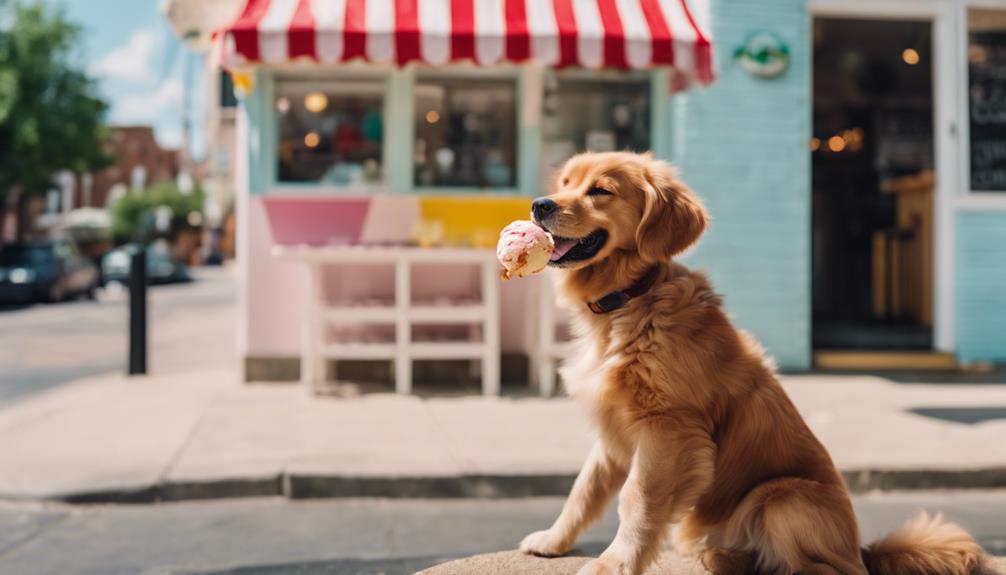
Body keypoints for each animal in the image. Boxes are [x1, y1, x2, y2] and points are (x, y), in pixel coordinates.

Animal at [523, 151, 985, 575]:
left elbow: (636, 499)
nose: (539, 205)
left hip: (781, 496)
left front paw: (614, 563)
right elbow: (584, 489)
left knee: (819, 569)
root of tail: (862, 550)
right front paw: (554, 539)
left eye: (601, 190)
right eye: (565, 183)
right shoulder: (615, 428)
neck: (632, 301)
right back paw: (720, 555)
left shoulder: (667, 427)